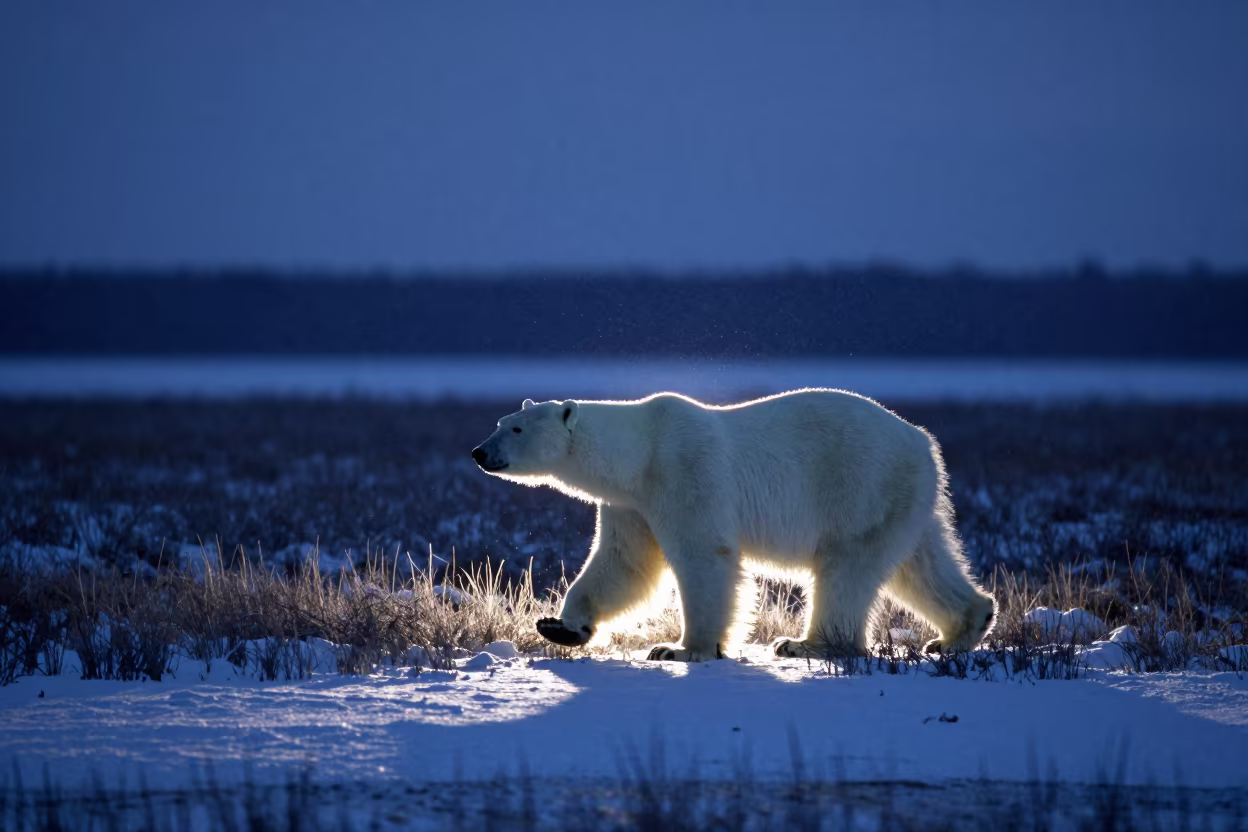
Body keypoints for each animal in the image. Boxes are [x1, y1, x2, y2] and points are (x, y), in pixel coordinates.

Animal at [471, 390, 995, 661]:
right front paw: (560, 626)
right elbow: (624, 565)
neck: (639, 453)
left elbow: (704, 557)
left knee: (847, 566)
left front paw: (682, 649)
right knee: (920, 563)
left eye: (516, 428)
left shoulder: (683, 473)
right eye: (498, 421)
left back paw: (807, 643)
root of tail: (923, 441)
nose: (479, 452)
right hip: (902, 498)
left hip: (860, 483)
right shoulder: (632, 503)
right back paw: (960, 629)